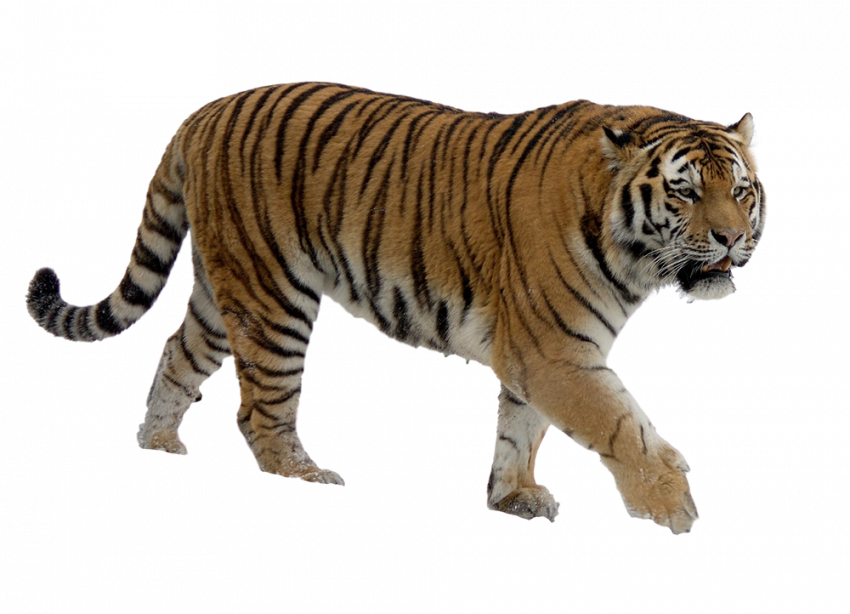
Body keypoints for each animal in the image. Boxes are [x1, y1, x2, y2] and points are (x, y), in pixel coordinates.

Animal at [26, 81, 768, 534]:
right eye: (685, 192)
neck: (632, 252)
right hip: (274, 298)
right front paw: (677, 509)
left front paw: (511, 496)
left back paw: (158, 450)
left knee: (176, 354)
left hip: (222, 289)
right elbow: (622, 427)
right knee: (260, 411)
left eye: (740, 190)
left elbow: (521, 426)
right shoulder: (555, 351)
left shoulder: (536, 352)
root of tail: (203, 112)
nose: (733, 237)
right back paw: (307, 483)